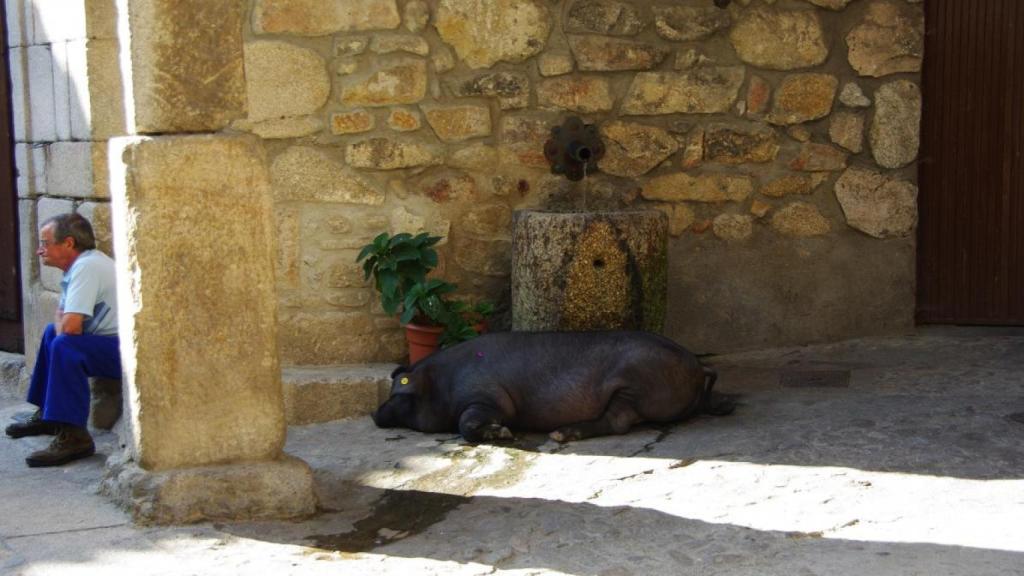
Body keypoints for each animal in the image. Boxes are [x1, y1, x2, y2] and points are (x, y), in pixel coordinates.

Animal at [372, 331, 734, 443]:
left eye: (399, 396)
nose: (375, 414)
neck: (442, 384)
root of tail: (696, 364)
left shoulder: (487, 397)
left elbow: (467, 423)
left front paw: (504, 433)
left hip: (635, 382)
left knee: (618, 422)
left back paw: (561, 434)